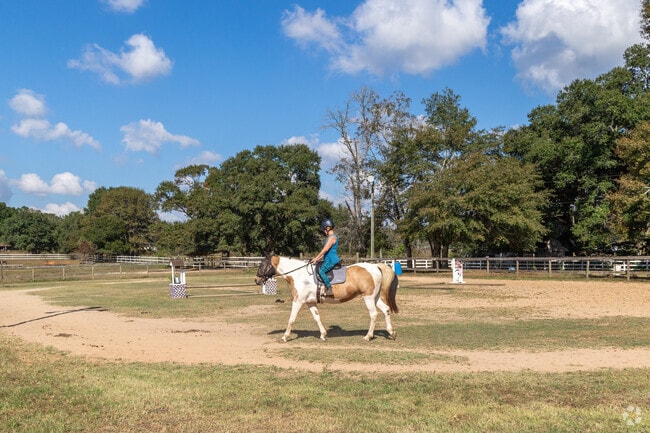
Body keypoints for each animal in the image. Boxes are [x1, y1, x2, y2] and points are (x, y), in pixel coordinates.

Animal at [255, 255, 399, 342]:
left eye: (262, 265)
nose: (256, 280)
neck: (299, 274)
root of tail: (375, 266)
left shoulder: (298, 301)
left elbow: (291, 319)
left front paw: (285, 337)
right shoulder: (310, 302)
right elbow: (317, 317)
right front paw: (323, 334)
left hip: (368, 298)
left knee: (373, 314)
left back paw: (368, 336)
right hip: (375, 297)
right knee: (386, 309)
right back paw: (391, 332)